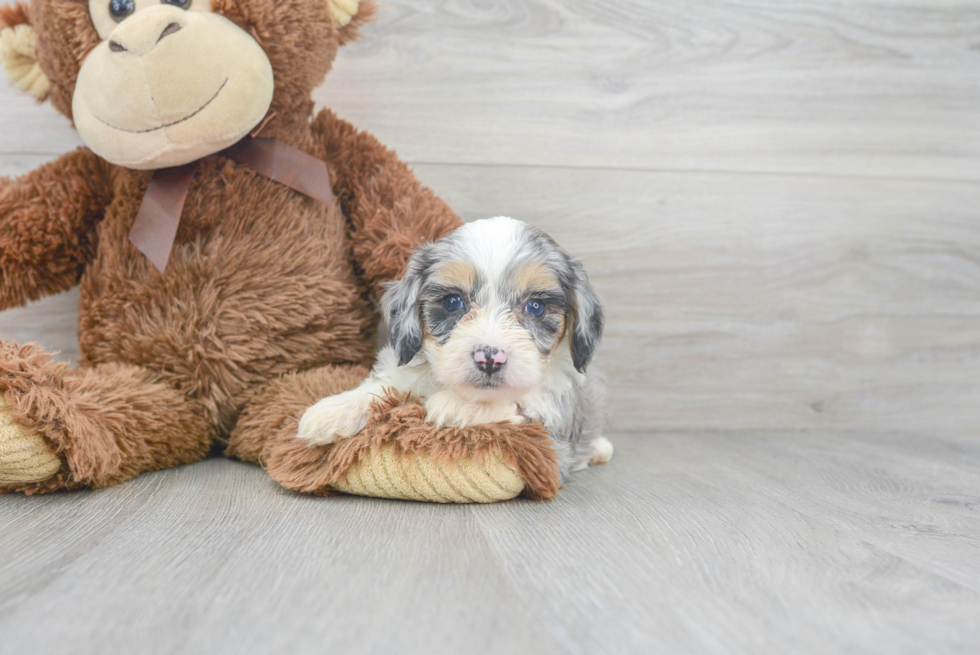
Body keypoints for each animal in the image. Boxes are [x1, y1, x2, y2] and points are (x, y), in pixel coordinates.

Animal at [298, 218, 608, 480]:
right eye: (452, 302)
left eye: (536, 307)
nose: (489, 359)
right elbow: (381, 388)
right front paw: (334, 410)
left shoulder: (556, 436)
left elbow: (522, 404)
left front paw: (460, 405)